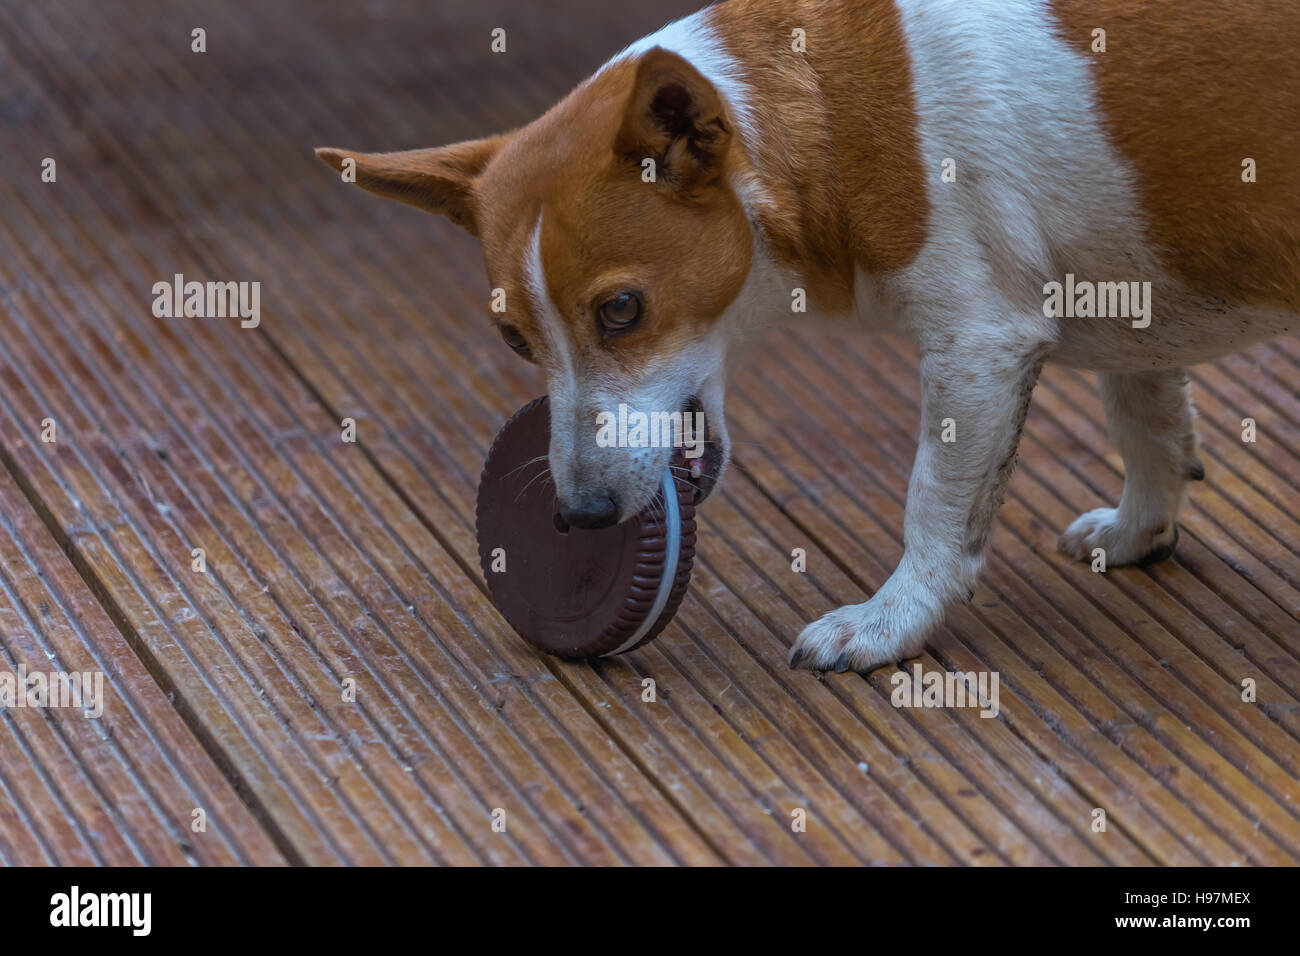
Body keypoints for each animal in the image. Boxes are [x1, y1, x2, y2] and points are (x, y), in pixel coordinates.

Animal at [317, 0, 1300, 671]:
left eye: (621, 311)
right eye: (516, 342)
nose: (580, 518)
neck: (824, 109)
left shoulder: (978, 347)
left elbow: (937, 505)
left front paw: (888, 622)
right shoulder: (1133, 293)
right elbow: (1150, 425)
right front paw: (1141, 529)